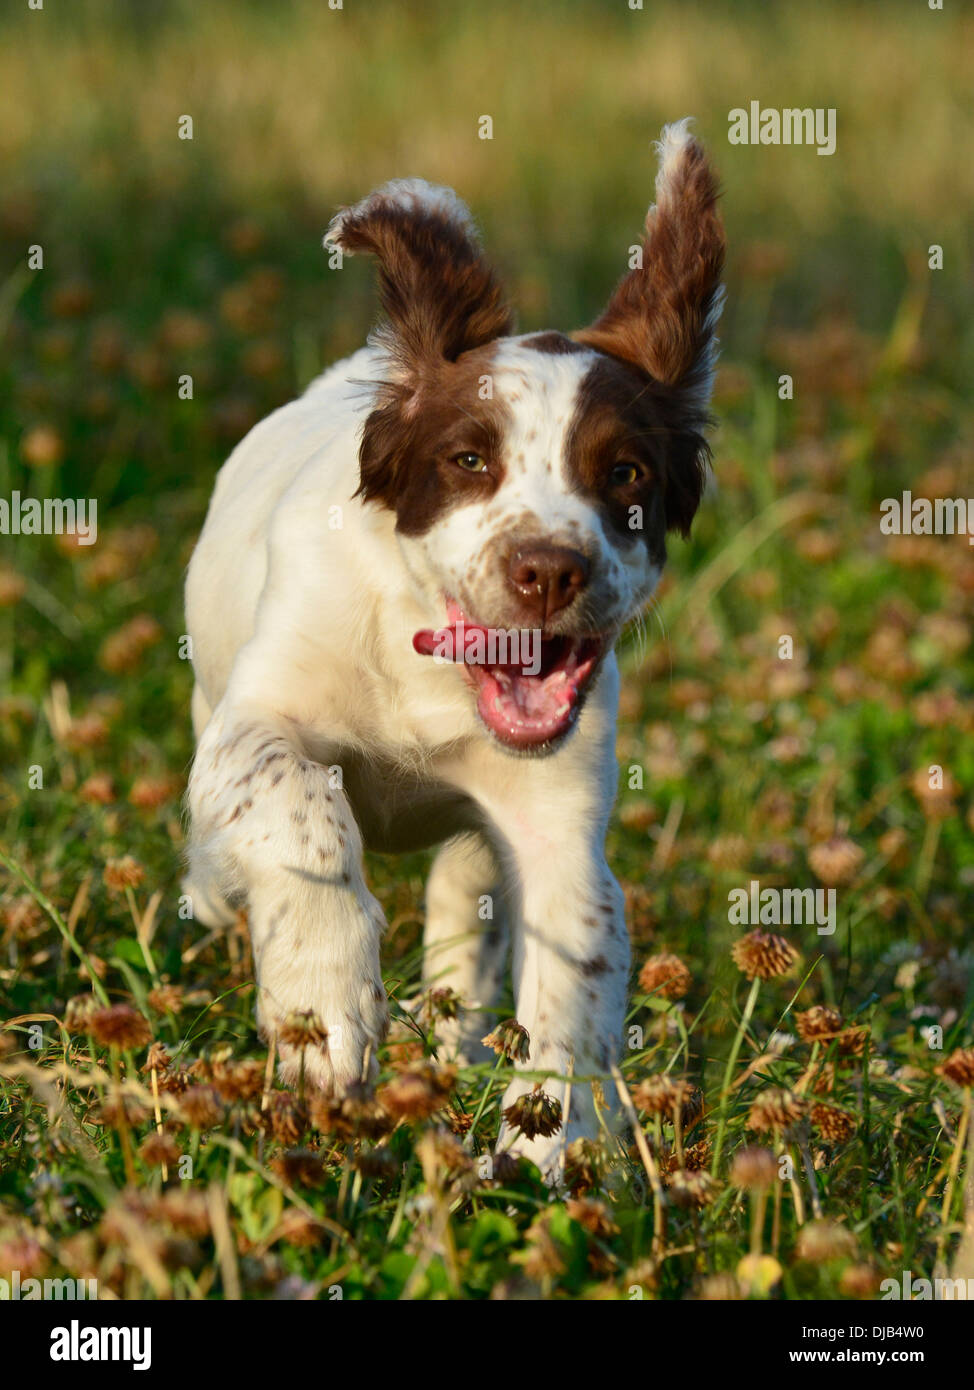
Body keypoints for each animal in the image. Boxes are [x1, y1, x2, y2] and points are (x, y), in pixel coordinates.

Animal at [184, 119, 722, 1178]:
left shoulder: (555, 818)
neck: (428, 660)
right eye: (469, 460)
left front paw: (543, 1140)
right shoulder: (252, 721)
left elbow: (579, 953)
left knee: (464, 904)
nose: (549, 571)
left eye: (626, 475)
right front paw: (324, 1012)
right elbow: (301, 808)